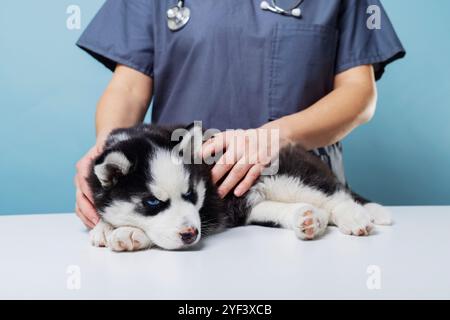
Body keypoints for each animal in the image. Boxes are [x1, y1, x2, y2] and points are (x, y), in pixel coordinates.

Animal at [87, 124, 390, 251]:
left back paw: (356, 217)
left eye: (191, 194)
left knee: (336, 195)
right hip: (250, 201)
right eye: (152, 203)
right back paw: (308, 218)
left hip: (280, 174)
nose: (190, 234)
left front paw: (129, 233)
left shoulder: (209, 209)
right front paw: (103, 227)